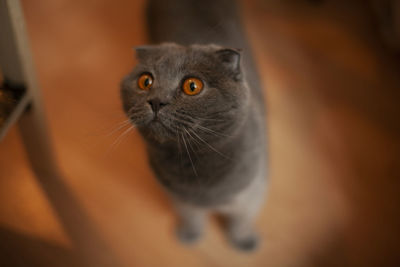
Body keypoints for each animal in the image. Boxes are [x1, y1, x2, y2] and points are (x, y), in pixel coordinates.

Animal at [120, 0, 268, 251]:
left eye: (192, 86)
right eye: (145, 81)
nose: (156, 101)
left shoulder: (253, 190)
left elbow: (243, 219)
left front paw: (244, 241)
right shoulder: (180, 199)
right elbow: (191, 216)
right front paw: (190, 235)